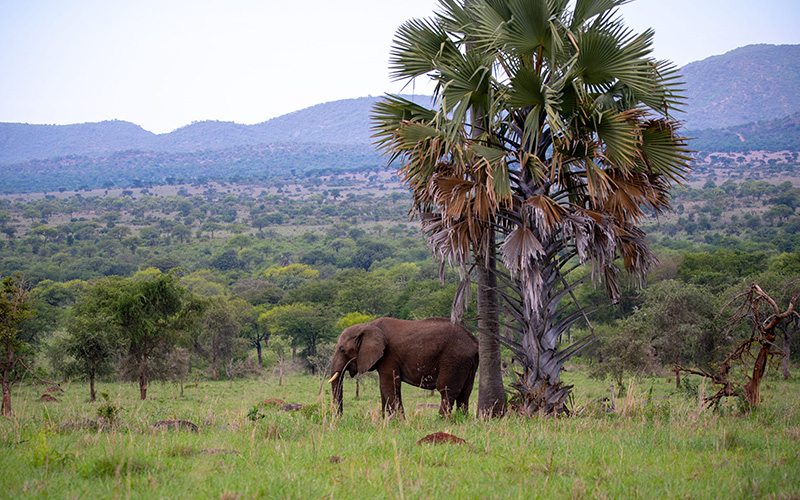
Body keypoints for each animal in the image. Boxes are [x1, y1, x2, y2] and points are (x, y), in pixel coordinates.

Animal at [328, 316, 478, 418]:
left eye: (342, 350)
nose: (340, 417)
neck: (367, 325)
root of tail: (474, 342)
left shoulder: (388, 355)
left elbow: (389, 385)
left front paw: (396, 422)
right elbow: (386, 388)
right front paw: (387, 421)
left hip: (454, 360)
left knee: (446, 390)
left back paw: (440, 420)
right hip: (467, 364)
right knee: (465, 393)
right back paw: (461, 420)